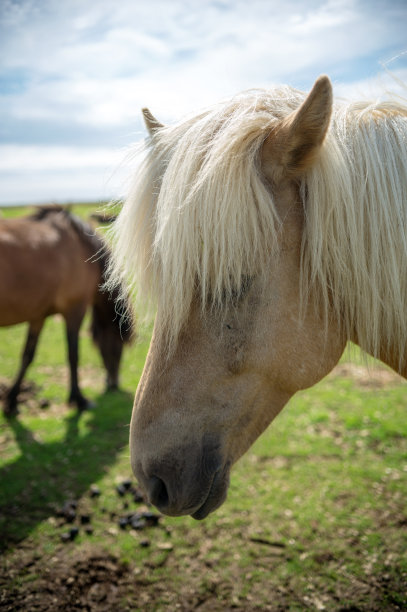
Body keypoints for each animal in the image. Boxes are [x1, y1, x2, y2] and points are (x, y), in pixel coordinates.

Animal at [1, 207, 135, 416]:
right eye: (117, 345)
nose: (114, 383)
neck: (81, 246)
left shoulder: (38, 316)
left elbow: (27, 355)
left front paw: (12, 400)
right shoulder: (75, 310)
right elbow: (73, 354)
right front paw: (79, 399)